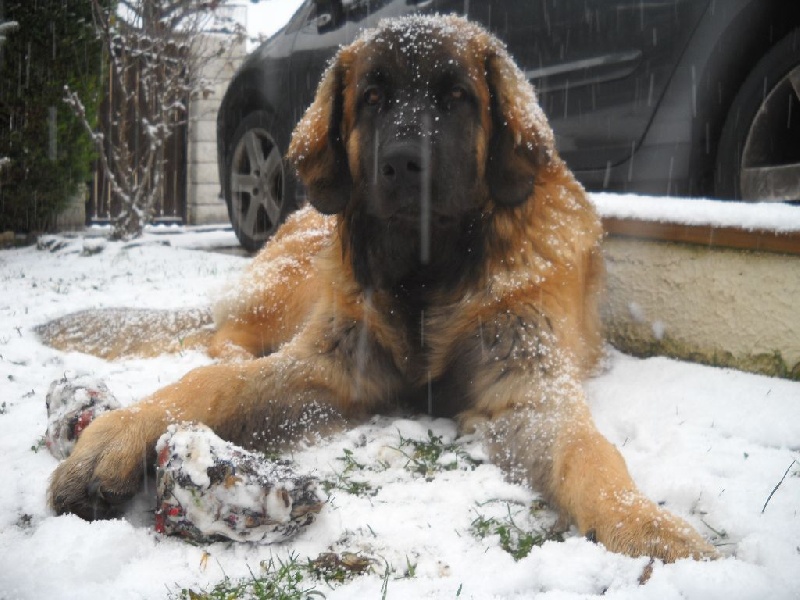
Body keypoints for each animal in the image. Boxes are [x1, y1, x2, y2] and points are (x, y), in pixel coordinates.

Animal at [47, 16, 716, 564]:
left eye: (456, 97)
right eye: (372, 98)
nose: (401, 162)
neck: (427, 273)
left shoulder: (527, 386)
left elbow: (589, 450)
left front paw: (643, 523)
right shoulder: (336, 363)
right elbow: (211, 383)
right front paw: (119, 434)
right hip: (298, 282)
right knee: (223, 340)